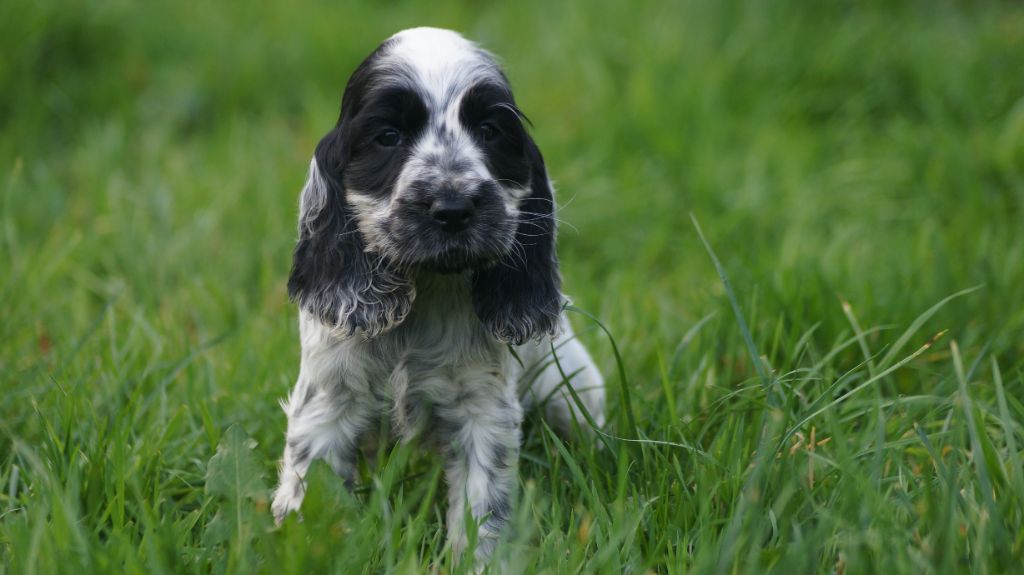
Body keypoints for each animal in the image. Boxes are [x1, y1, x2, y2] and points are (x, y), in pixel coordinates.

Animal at [274, 28, 606, 560]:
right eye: (388, 136)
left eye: (490, 131)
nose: (453, 207)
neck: (427, 289)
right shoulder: (327, 402)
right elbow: (308, 489)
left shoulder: (482, 411)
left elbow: (482, 513)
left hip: (572, 390)